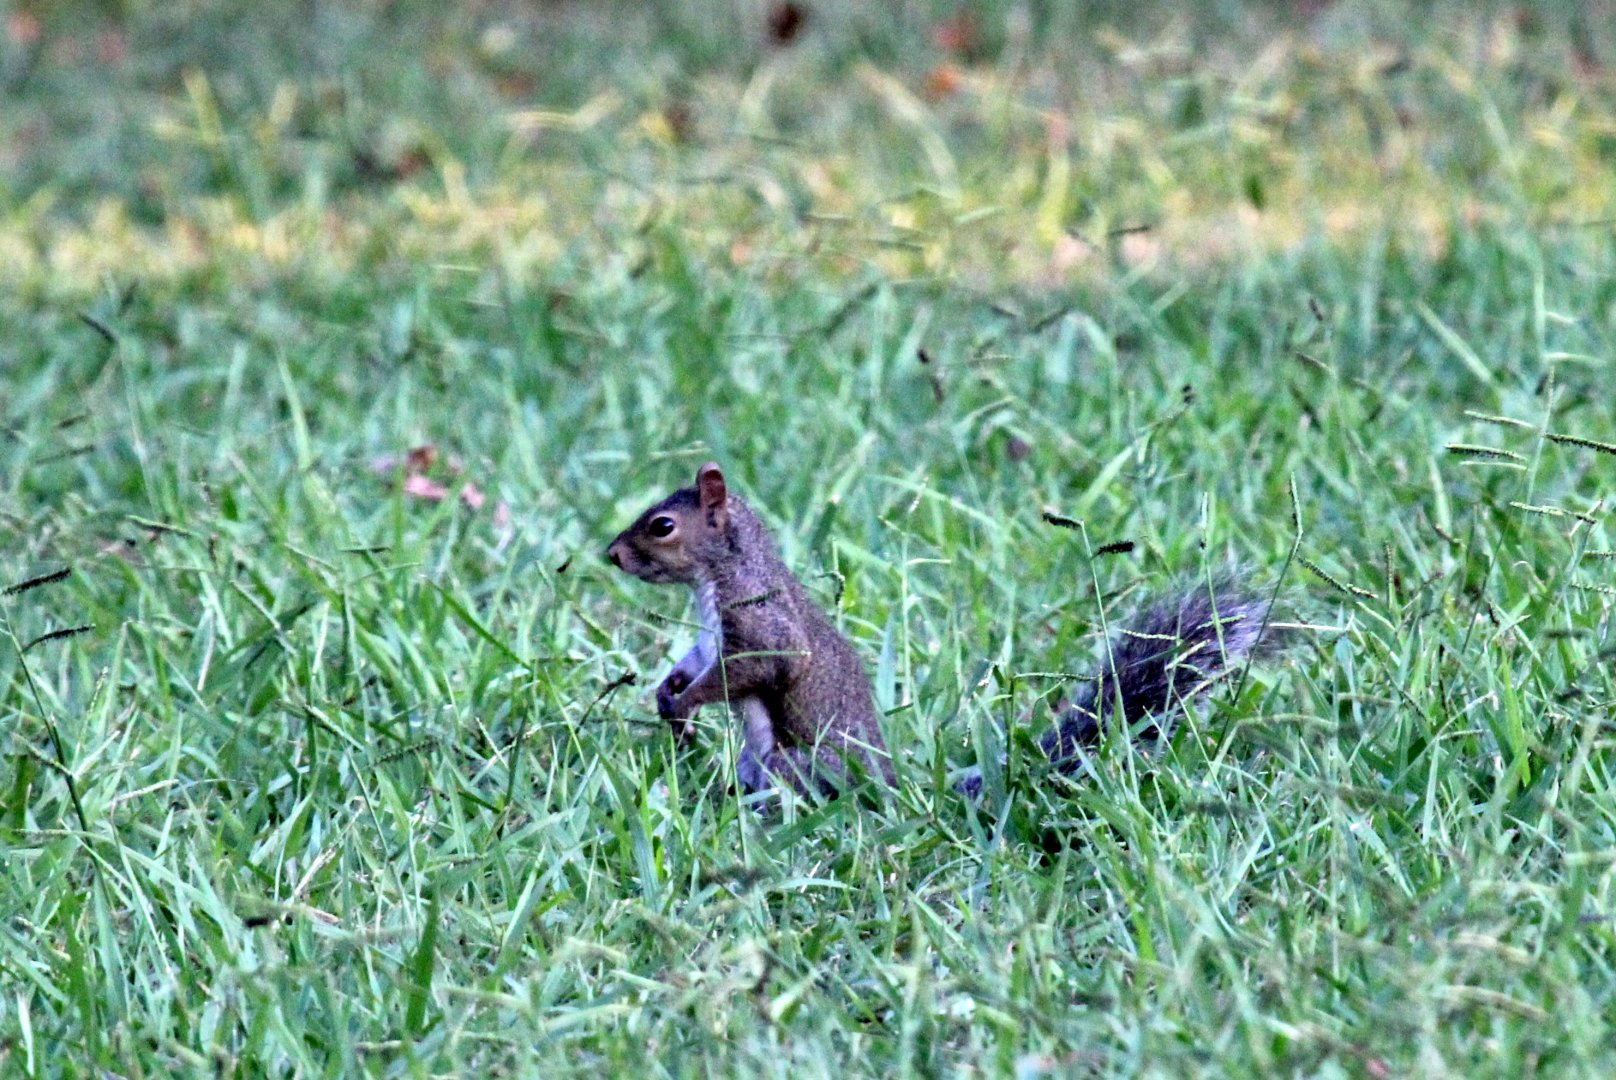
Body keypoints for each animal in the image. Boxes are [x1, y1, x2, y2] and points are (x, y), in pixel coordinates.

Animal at [606, 462, 1278, 798]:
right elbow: (697, 660)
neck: (719, 576)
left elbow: (756, 670)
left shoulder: (760, 624)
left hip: (797, 762)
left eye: (662, 526)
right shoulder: (710, 634)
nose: (612, 555)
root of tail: (894, 791)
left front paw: (686, 702)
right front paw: (668, 693)